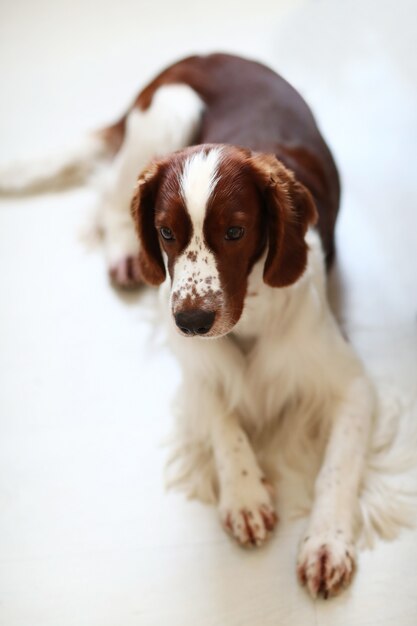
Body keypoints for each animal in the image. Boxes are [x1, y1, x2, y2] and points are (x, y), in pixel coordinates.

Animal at [0, 54, 374, 600]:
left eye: (236, 231)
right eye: (166, 232)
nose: (191, 322)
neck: (251, 312)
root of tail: (199, 55)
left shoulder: (351, 383)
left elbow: (337, 465)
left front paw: (326, 543)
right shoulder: (195, 366)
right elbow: (221, 415)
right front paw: (243, 491)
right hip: (172, 107)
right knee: (108, 198)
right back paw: (123, 255)